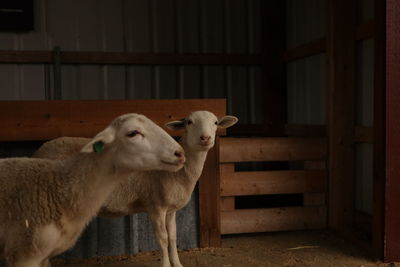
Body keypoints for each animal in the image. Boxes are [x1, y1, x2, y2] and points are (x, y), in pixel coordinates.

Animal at [32, 111, 238, 267]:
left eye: (215, 122)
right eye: (189, 122)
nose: (206, 138)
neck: (181, 173)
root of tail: (39, 151)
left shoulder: (171, 210)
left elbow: (173, 237)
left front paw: (178, 264)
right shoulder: (155, 206)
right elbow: (162, 238)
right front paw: (166, 265)